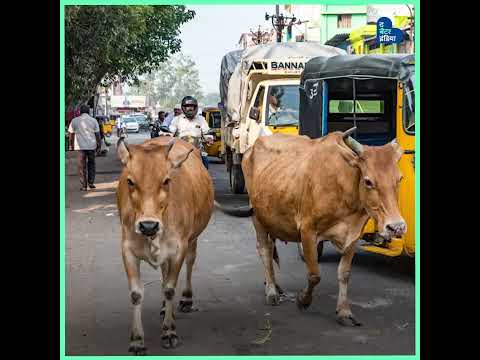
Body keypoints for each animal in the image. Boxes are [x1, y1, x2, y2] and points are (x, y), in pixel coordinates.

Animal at [115, 137, 213, 354]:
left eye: (167, 180)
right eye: (130, 181)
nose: (148, 225)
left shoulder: (178, 249)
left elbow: (169, 289)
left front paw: (169, 332)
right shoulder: (127, 250)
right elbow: (136, 294)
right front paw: (137, 341)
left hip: (192, 240)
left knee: (189, 264)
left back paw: (186, 299)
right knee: (164, 272)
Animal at [219, 127, 406, 326]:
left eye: (399, 178)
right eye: (368, 181)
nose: (397, 227)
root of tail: (251, 149)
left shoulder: (353, 236)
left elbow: (344, 273)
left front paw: (344, 311)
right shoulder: (308, 231)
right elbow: (314, 274)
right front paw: (303, 300)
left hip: (272, 217)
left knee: (270, 249)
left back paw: (275, 285)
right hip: (257, 216)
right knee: (264, 249)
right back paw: (271, 291)